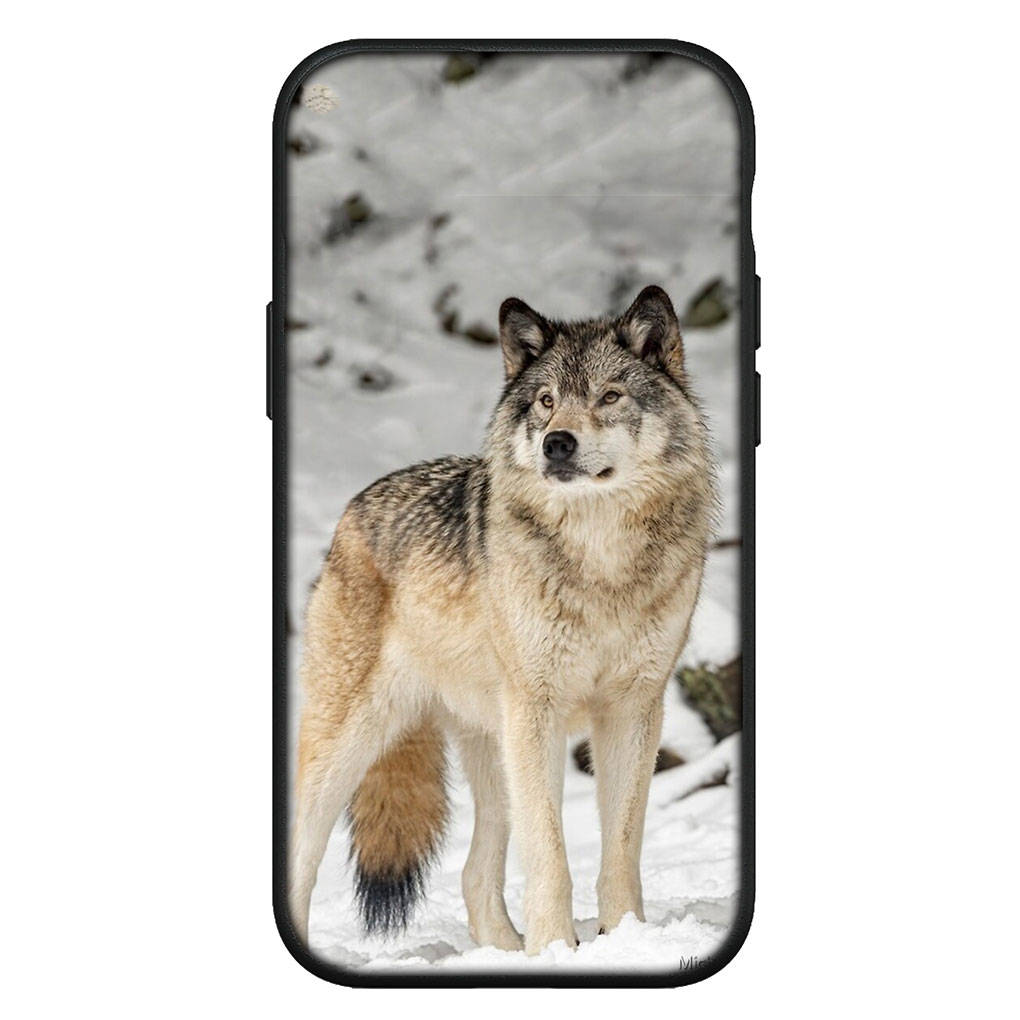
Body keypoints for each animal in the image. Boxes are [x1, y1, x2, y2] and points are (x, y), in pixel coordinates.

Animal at [289, 286, 715, 955]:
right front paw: (556, 950)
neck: (601, 561)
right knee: (301, 858)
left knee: (471, 873)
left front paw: (623, 939)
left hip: (493, 749)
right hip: (354, 740)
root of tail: (351, 511)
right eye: (546, 402)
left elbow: (621, 850)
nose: (557, 442)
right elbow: (551, 856)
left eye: (609, 397)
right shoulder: (539, 711)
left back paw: (506, 949)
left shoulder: (633, 708)